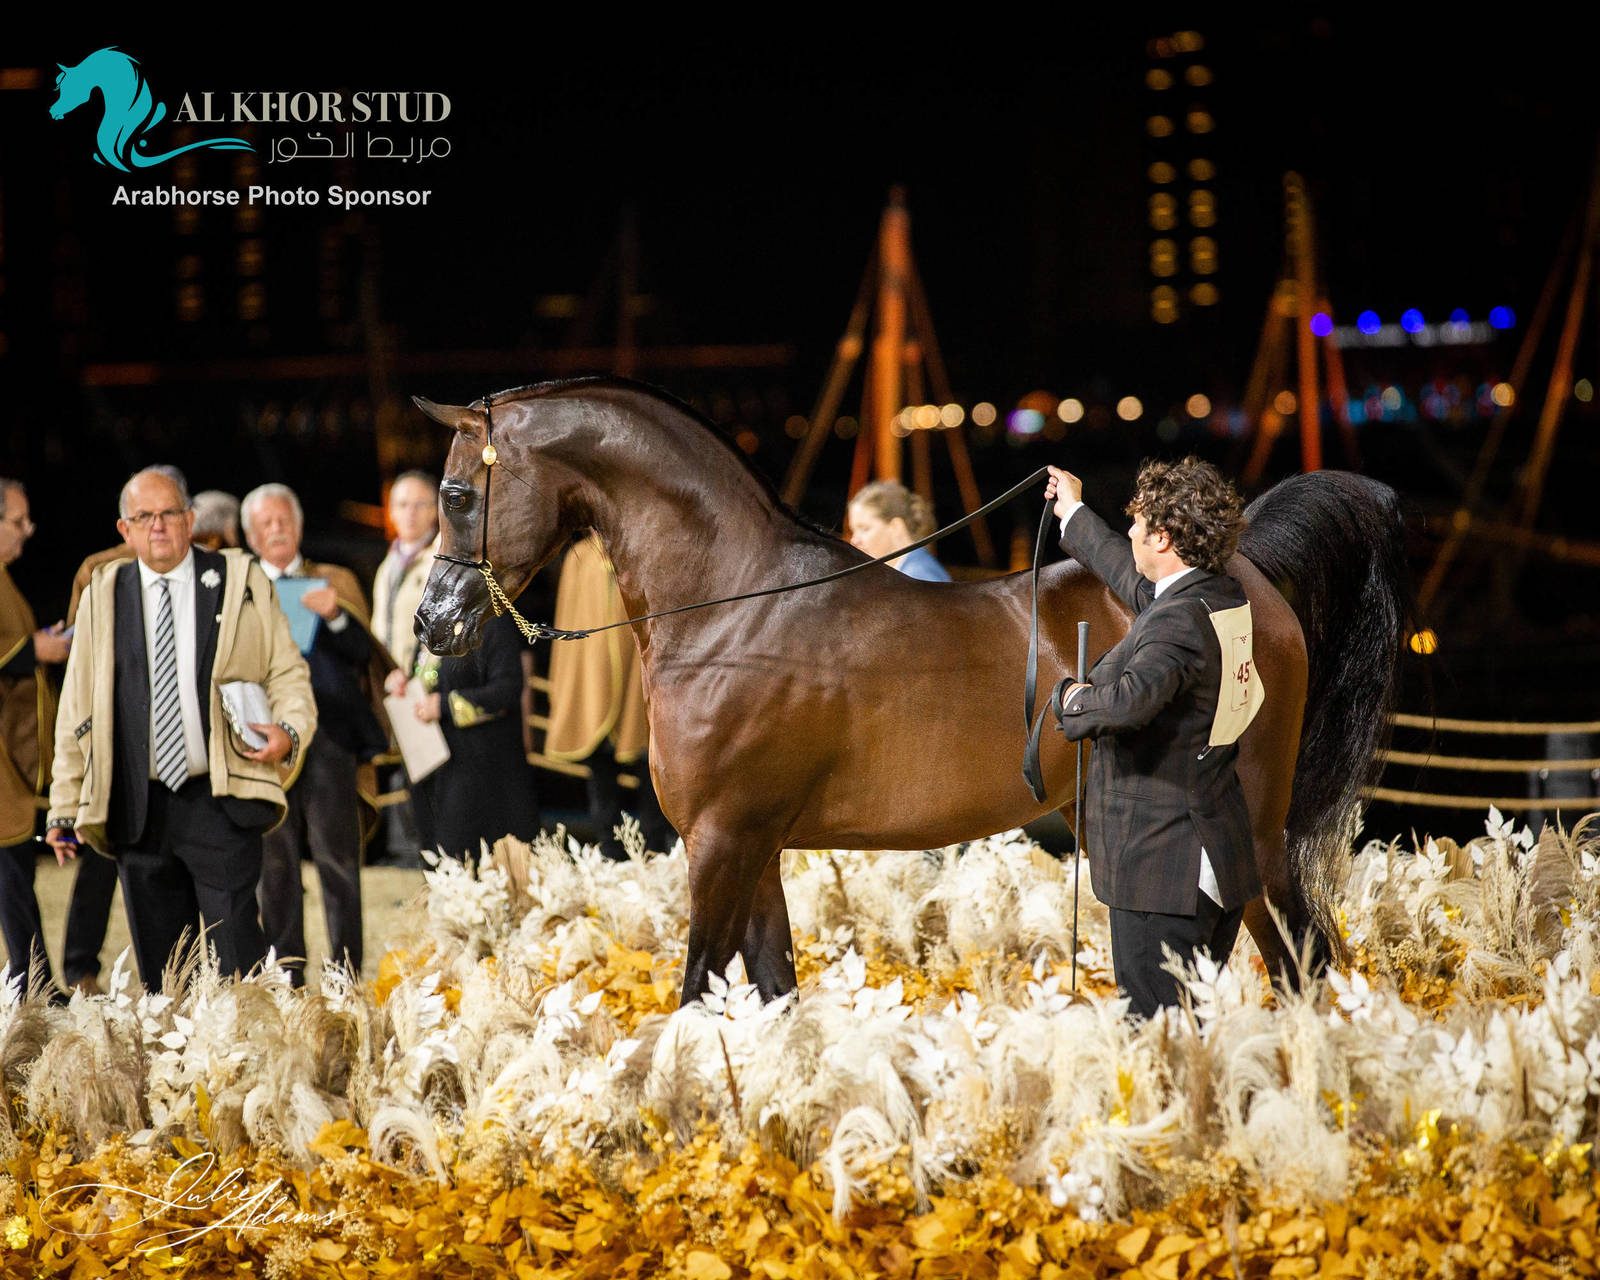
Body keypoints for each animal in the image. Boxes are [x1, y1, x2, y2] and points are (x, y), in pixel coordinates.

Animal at [412, 377, 1408, 1005]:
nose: (432, 623)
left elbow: (698, 992)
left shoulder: (720, 844)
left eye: (459, 494)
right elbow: (772, 991)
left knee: (1302, 964)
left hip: (1253, 838)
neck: (733, 610)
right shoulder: (754, 847)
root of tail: (1239, 573)